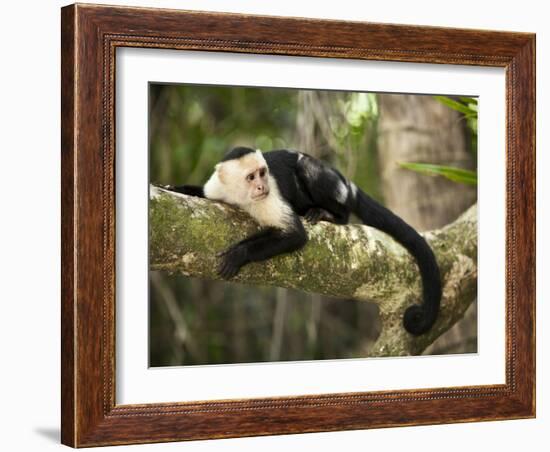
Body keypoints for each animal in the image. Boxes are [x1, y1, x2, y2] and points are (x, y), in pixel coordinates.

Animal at [172, 147, 444, 334]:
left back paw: (330, 214)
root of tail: (346, 181)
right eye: (251, 177)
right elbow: (201, 193)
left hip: (335, 185)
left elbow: (294, 235)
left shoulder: (269, 198)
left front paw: (239, 254)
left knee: (307, 167)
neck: (241, 197)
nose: (261, 187)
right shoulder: (217, 188)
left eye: (262, 173)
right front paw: (176, 188)